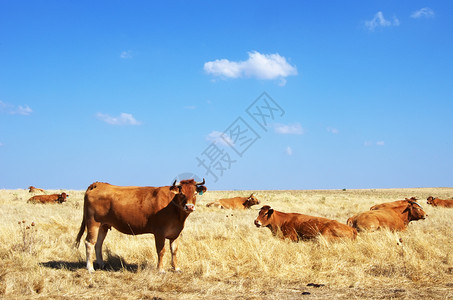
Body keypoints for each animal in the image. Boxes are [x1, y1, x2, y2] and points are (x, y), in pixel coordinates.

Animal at [74, 179, 207, 274]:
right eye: (182, 194)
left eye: (195, 193)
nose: (189, 207)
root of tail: (98, 184)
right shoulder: (159, 232)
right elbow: (161, 250)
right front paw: (161, 269)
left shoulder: (176, 233)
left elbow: (174, 250)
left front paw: (177, 268)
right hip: (93, 223)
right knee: (89, 243)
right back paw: (90, 268)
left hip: (103, 226)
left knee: (98, 243)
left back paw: (101, 264)